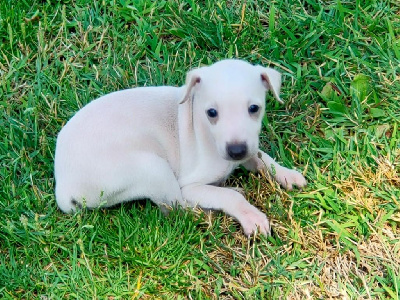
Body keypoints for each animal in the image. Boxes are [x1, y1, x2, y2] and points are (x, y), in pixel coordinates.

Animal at [54, 59, 306, 237]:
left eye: (254, 108)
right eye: (211, 113)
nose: (236, 151)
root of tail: (63, 189)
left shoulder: (249, 149)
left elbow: (263, 158)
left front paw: (287, 175)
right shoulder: (189, 185)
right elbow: (227, 197)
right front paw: (251, 216)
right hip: (154, 169)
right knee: (177, 208)